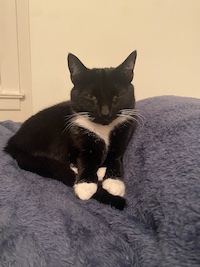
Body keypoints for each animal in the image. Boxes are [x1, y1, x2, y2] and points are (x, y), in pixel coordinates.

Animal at [3, 50, 138, 209]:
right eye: (91, 96)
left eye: (117, 96)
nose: (105, 112)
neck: (103, 128)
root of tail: (13, 141)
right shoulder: (79, 134)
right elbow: (85, 159)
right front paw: (86, 186)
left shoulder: (125, 129)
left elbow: (116, 156)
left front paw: (114, 182)